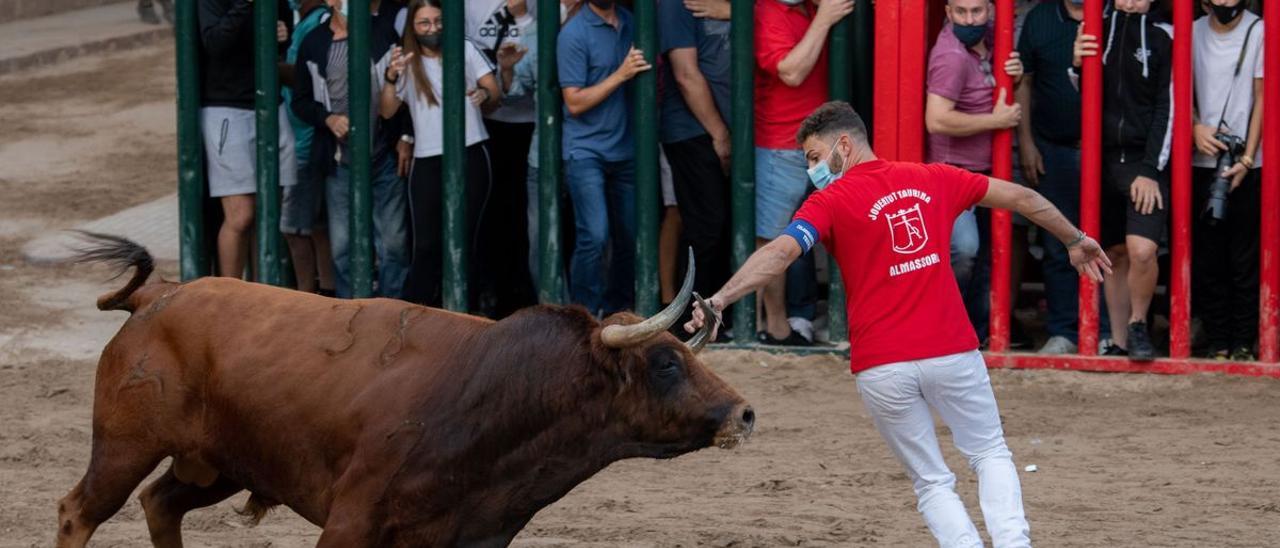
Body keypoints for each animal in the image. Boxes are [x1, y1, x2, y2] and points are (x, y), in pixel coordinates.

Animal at [60, 233, 752, 545]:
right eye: (665, 362)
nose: (743, 413)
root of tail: (161, 295)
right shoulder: (351, 521)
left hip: (219, 464)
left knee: (160, 505)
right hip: (124, 445)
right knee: (79, 511)